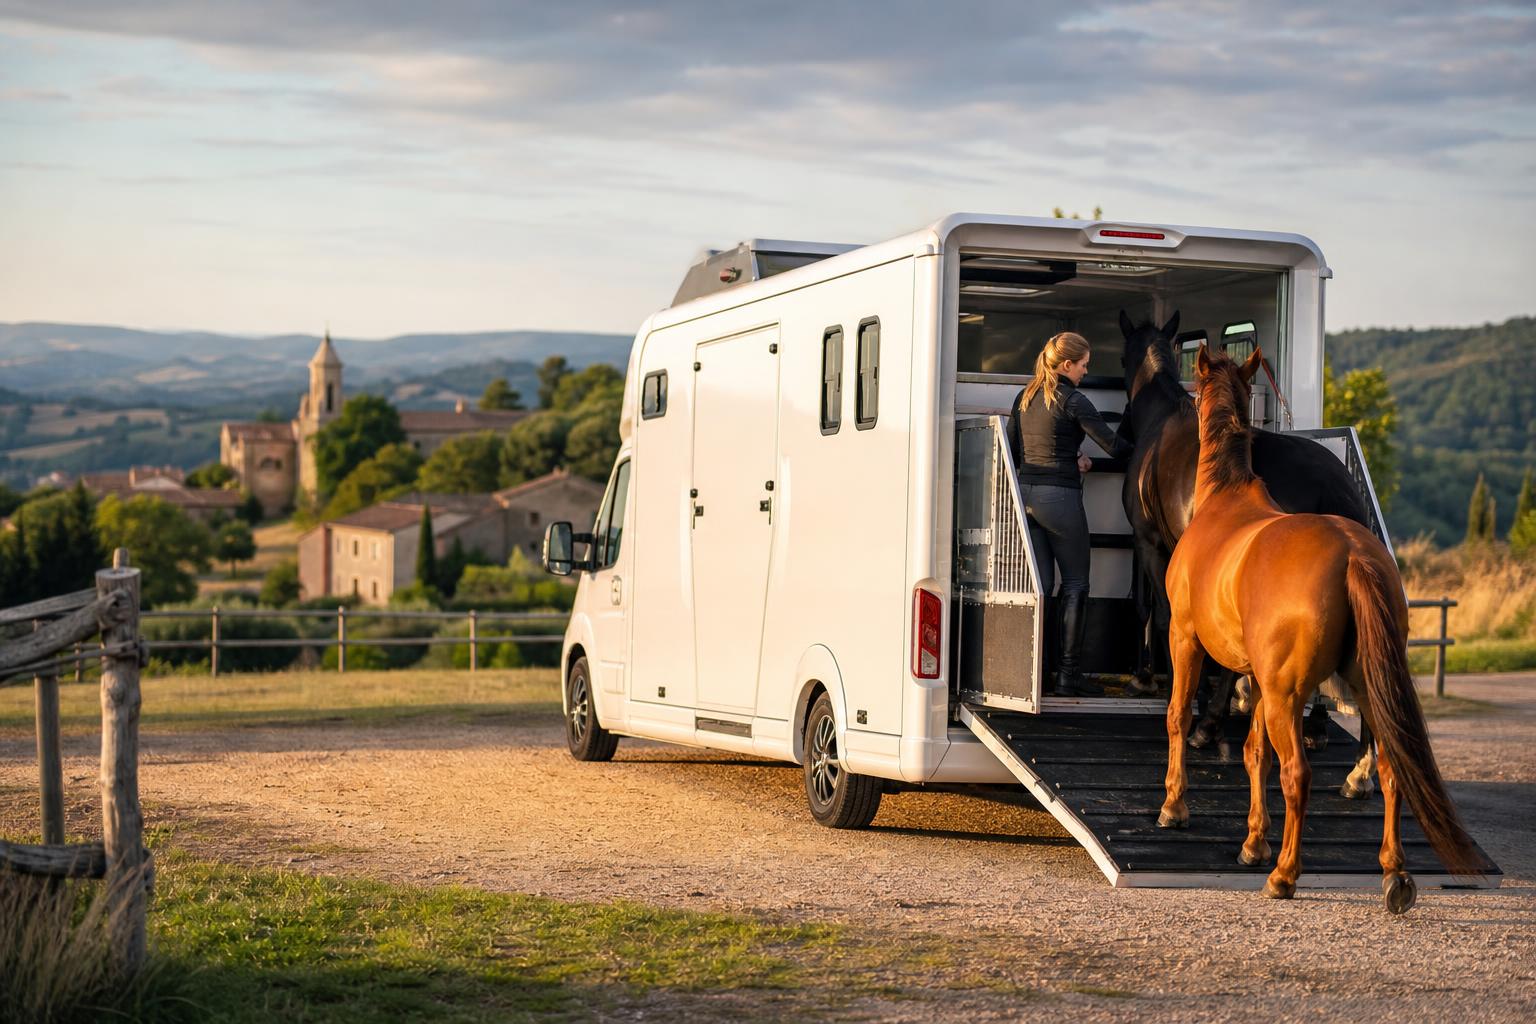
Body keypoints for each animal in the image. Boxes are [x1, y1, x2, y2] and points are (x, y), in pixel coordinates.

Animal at [1115, 311, 1377, 800]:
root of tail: (1333, 491)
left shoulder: (1151, 543)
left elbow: (1156, 613)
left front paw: (1169, 690)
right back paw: (1356, 766)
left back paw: (1210, 726)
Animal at [1158, 344, 1481, 912]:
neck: (1224, 499)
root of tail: (1353, 554)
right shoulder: (1259, 679)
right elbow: (1254, 754)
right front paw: (1253, 842)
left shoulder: (1186, 638)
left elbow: (1180, 716)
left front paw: (1175, 807)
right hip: (1359, 688)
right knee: (1390, 769)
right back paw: (1394, 872)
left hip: (1289, 694)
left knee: (1298, 775)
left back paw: (1286, 875)